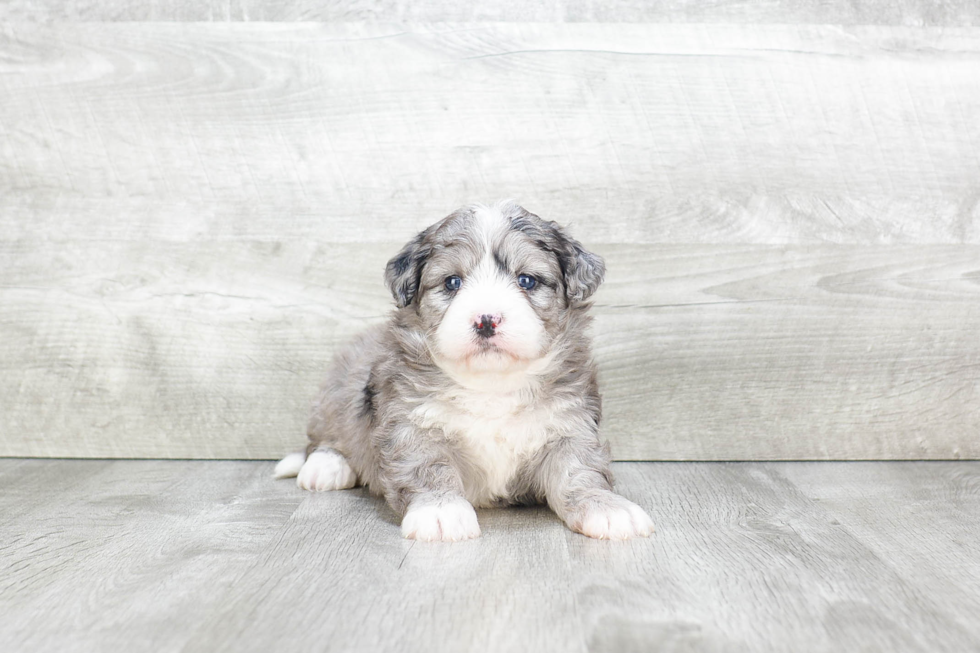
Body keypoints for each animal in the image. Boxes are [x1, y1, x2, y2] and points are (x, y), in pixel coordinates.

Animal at [272, 200, 656, 540]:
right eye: (453, 283)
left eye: (527, 280)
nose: (486, 320)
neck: (492, 385)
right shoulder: (413, 424)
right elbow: (427, 467)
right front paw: (441, 510)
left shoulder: (569, 425)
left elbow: (579, 471)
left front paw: (607, 507)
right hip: (339, 384)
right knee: (325, 436)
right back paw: (325, 466)